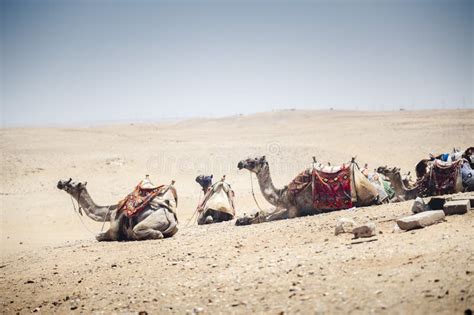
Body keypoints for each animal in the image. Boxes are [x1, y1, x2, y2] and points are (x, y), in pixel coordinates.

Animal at [236, 157, 378, 226]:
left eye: (253, 160)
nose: (240, 163)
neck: (283, 196)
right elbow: (263, 214)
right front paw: (242, 219)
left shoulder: (293, 211)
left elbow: (265, 218)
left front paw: (243, 221)